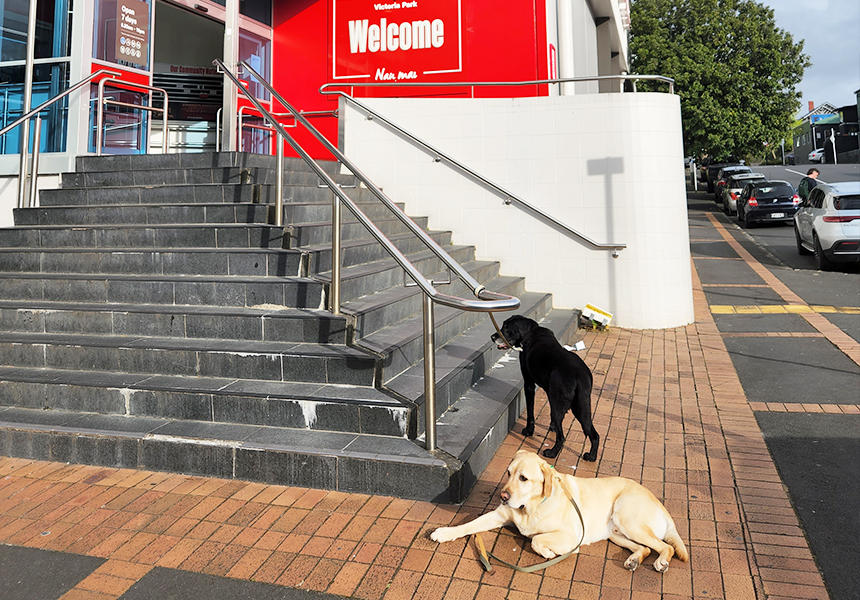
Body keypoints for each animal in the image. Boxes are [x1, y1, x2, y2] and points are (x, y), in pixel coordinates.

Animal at [434, 450, 688, 572]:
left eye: (523, 478)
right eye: (508, 473)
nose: (503, 497)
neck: (531, 506)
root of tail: (661, 505)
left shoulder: (571, 536)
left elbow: (536, 540)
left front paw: (548, 553)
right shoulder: (499, 515)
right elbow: (468, 525)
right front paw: (445, 532)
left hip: (626, 517)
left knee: (665, 547)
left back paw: (661, 562)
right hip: (616, 533)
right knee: (645, 549)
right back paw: (634, 560)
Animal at [490, 316, 596, 462]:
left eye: (506, 327)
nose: (492, 337)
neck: (532, 332)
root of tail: (578, 375)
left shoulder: (529, 384)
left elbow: (530, 413)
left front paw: (529, 431)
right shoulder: (550, 391)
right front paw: (552, 427)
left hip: (568, 406)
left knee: (562, 438)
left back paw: (552, 453)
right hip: (582, 407)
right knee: (594, 434)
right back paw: (592, 456)